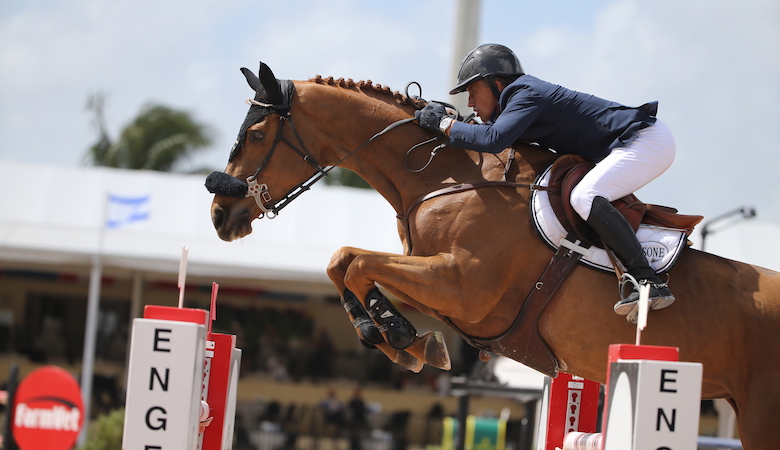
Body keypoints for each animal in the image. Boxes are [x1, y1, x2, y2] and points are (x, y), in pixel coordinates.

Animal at [207, 62, 780, 446]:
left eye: (255, 134)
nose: (218, 215)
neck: (443, 178)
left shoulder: (463, 285)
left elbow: (354, 259)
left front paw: (397, 336)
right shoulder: (440, 288)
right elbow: (343, 263)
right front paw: (400, 337)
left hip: (758, 416)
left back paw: (645, 291)